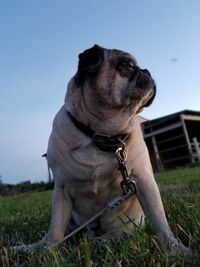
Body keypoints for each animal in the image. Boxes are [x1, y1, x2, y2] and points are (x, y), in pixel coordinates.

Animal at [14, 45, 188, 254]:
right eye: (128, 65)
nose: (147, 71)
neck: (102, 136)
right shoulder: (62, 190)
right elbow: (55, 230)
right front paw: (48, 250)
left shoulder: (144, 181)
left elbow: (160, 221)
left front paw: (177, 249)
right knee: (59, 233)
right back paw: (30, 247)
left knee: (116, 235)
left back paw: (102, 240)